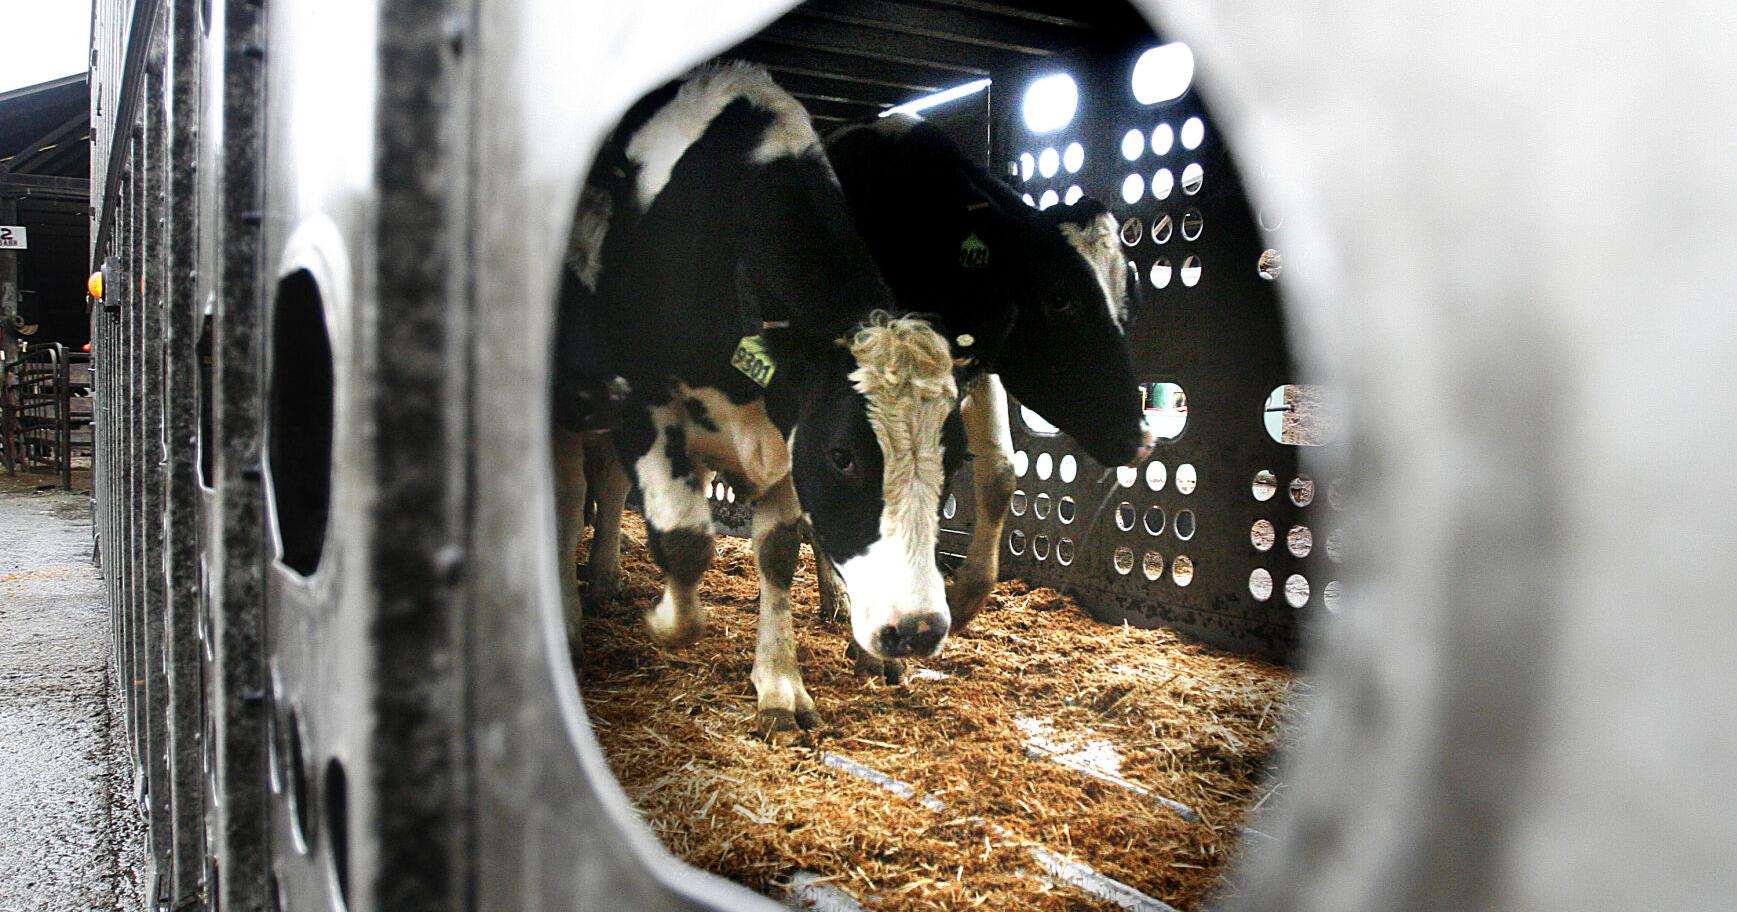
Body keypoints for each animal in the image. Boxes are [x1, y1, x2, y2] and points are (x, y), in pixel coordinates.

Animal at [551, 63, 966, 736]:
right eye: (843, 455)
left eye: (953, 459)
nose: (919, 630)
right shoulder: (639, 405)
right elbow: (687, 540)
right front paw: (668, 621)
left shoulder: (785, 433)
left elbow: (776, 553)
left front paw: (779, 686)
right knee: (570, 495)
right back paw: (570, 616)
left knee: (606, 484)